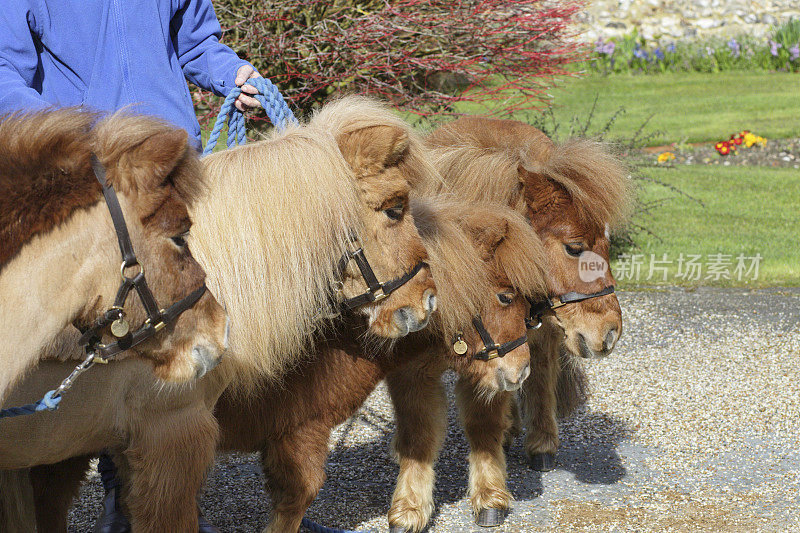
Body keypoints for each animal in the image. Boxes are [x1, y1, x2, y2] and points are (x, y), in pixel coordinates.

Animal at [424, 114, 632, 472]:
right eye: (574, 248)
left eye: (608, 243)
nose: (610, 333)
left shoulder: (538, 330)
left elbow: (538, 377)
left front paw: (541, 445)